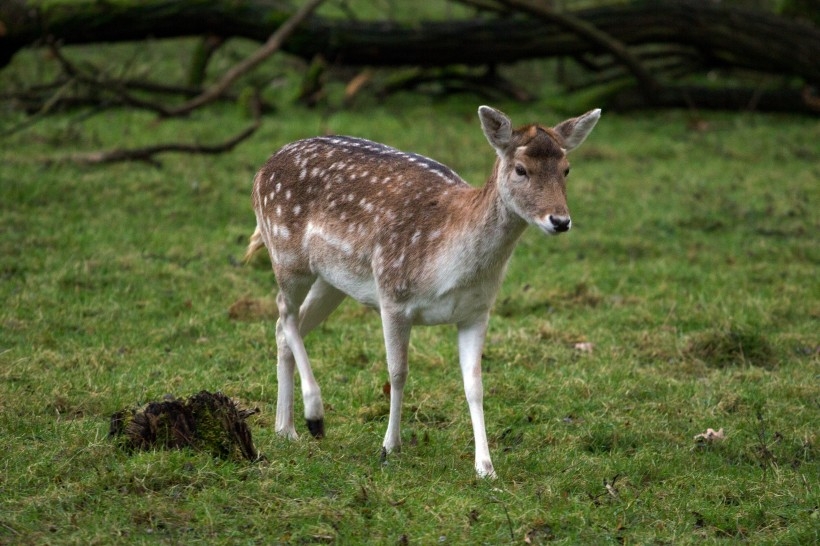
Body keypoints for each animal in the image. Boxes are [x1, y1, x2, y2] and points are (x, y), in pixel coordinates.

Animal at [247, 104, 600, 474]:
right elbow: (397, 372)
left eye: (567, 169)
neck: (450, 268)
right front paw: (390, 446)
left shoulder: (477, 311)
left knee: (285, 326)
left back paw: (285, 429)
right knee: (284, 314)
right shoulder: (392, 294)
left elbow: (475, 385)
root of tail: (260, 171)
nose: (560, 221)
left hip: (332, 281)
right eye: (521, 169)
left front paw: (485, 467)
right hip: (286, 254)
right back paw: (313, 415)